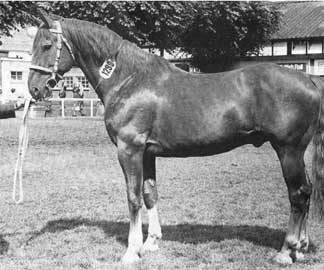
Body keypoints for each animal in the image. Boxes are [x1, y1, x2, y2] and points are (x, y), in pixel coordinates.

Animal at [27, 12, 324, 264]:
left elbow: (133, 197)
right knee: (307, 191)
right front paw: (151, 242)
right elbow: (150, 194)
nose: (34, 89)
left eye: (47, 45)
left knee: (298, 194)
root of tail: (309, 79)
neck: (128, 79)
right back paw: (302, 248)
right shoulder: (147, 152)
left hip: (288, 151)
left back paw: (286, 251)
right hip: (296, 152)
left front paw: (131, 251)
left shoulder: (129, 149)